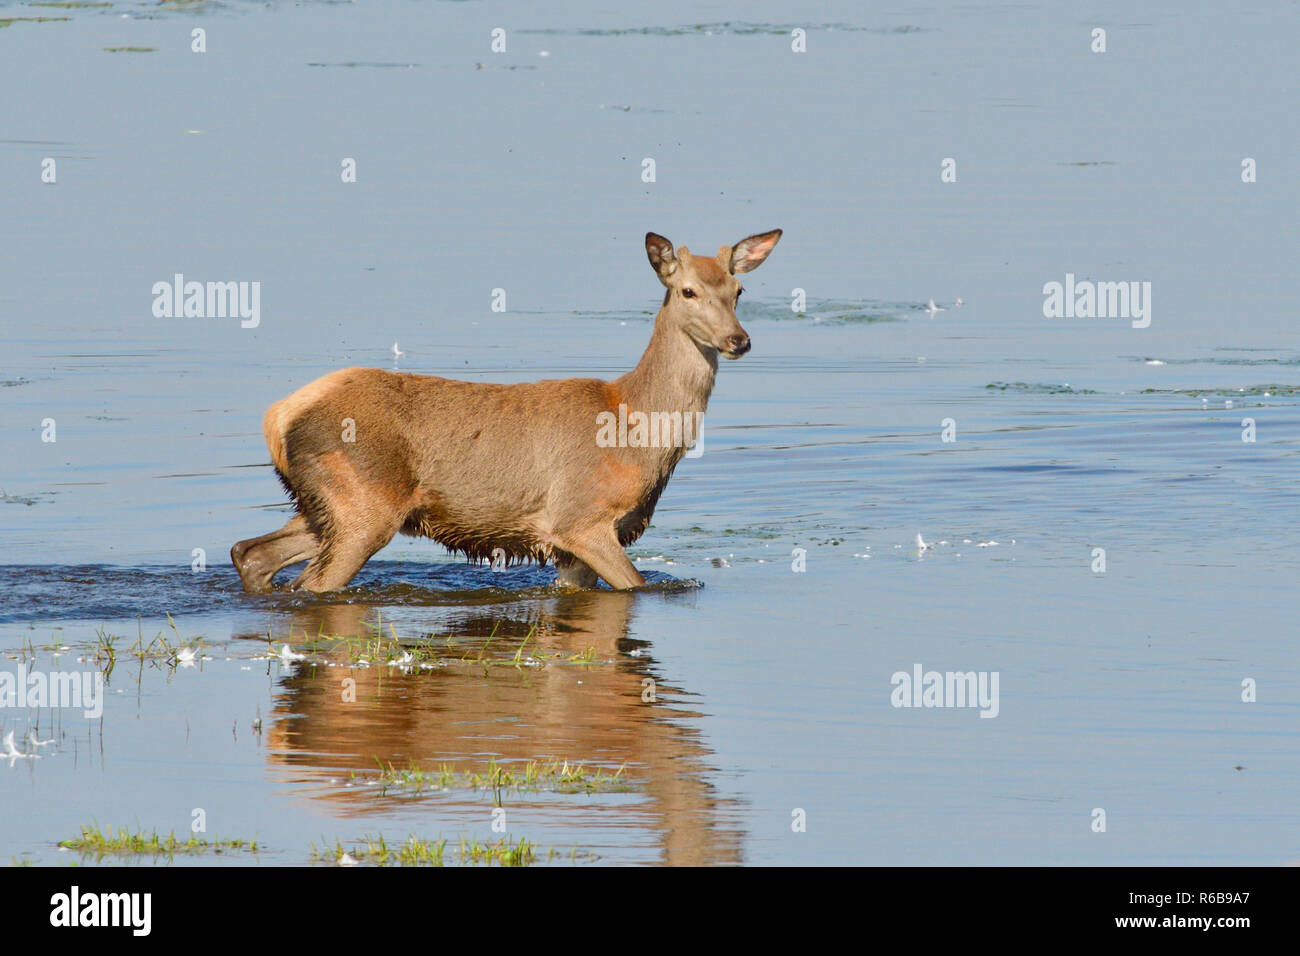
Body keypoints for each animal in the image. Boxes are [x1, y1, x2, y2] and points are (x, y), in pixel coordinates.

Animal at [231, 228, 780, 595]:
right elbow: (637, 586)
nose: (739, 340)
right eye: (688, 290)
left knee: (250, 553)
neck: (634, 427)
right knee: (309, 584)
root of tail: (277, 418)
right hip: (360, 505)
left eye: (738, 291)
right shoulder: (580, 518)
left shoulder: (570, 548)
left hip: (322, 505)